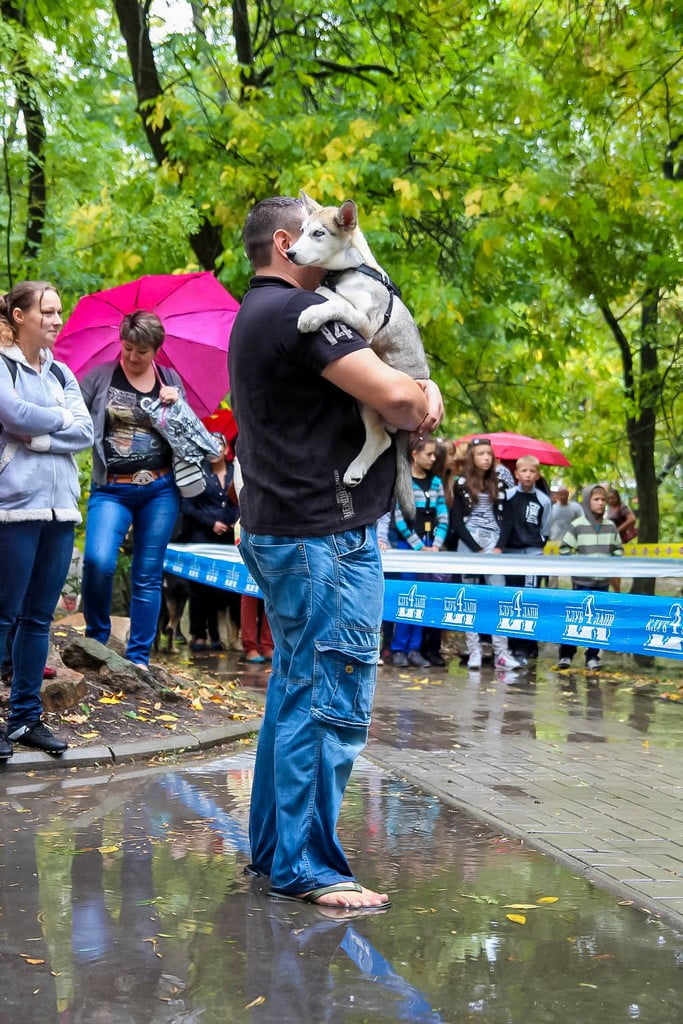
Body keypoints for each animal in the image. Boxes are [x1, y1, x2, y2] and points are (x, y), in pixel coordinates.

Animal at [286, 191, 428, 516]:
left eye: (319, 233)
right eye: (302, 231)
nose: (290, 254)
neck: (349, 272)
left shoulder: (366, 322)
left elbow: (336, 303)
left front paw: (313, 312)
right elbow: (332, 296)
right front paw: (321, 293)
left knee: (381, 438)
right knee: (380, 438)